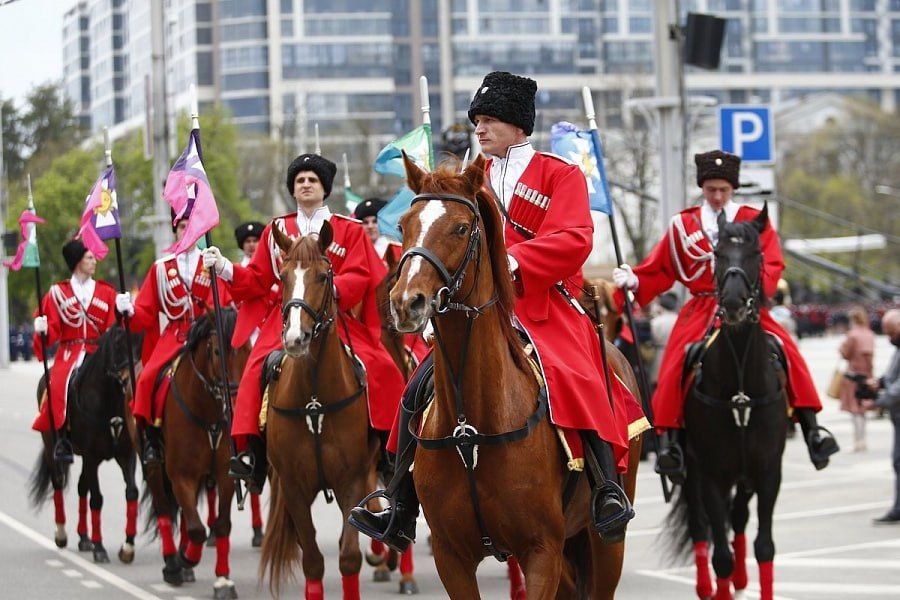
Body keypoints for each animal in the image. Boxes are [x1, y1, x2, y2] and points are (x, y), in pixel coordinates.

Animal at [29, 324, 142, 564]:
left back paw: (83, 538)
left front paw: (127, 547)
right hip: (54, 448)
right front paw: (100, 548)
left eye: (141, 342)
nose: (131, 380)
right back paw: (62, 535)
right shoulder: (92, 456)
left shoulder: (126, 455)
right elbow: (97, 499)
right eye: (118, 343)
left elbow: (132, 493)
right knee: (58, 483)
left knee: (82, 486)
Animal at [144, 310, 250, 600]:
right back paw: (173, 563)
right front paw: (186, 559)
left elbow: (221, 525)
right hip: (155, 468)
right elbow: (196, 529)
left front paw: (223, 580)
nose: (236, 404)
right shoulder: (181, 475)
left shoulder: (225, 474)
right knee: (165, 511)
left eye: (248, 348)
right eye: (216, 351)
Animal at [260, 225, 376, 600]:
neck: (314, 402)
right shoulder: (294, 487)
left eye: (324, 276)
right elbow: (312, 561)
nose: (297, 338)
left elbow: (349, 556)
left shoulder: (352, 481)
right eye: (282, 277)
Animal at [668, 206, 788, 600]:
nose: (734, 304)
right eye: (717, 254)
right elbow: (719, 552)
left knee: (738, 519)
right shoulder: (710, 474)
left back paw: (740, 578)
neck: (740, 393)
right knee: (699, 527)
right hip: (692, 472)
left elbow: (764, 546)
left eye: (757, 254)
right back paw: (708, 585)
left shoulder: (768, 472)